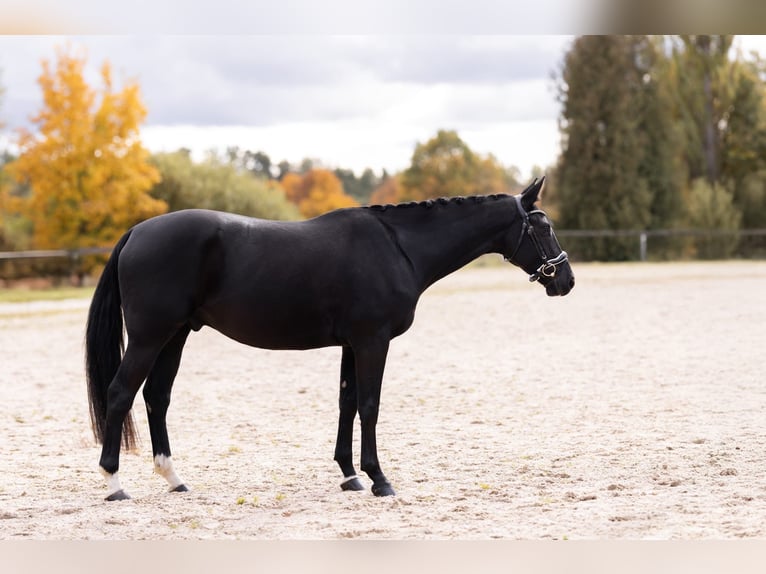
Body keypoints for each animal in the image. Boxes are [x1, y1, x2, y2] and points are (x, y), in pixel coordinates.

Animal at [85, 177, 574, 500]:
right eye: (543, 227)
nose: (565, 281)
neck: (398, 248)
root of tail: (137, 231)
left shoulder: (351, 345)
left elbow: (347, 402)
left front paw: (349, 475)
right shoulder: (373, 342)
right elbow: (370, 406)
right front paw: (379, 479)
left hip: (175, 336)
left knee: (156, 397)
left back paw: (174, 478)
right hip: (150, 337)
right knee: (121, 393)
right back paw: (114, 483)